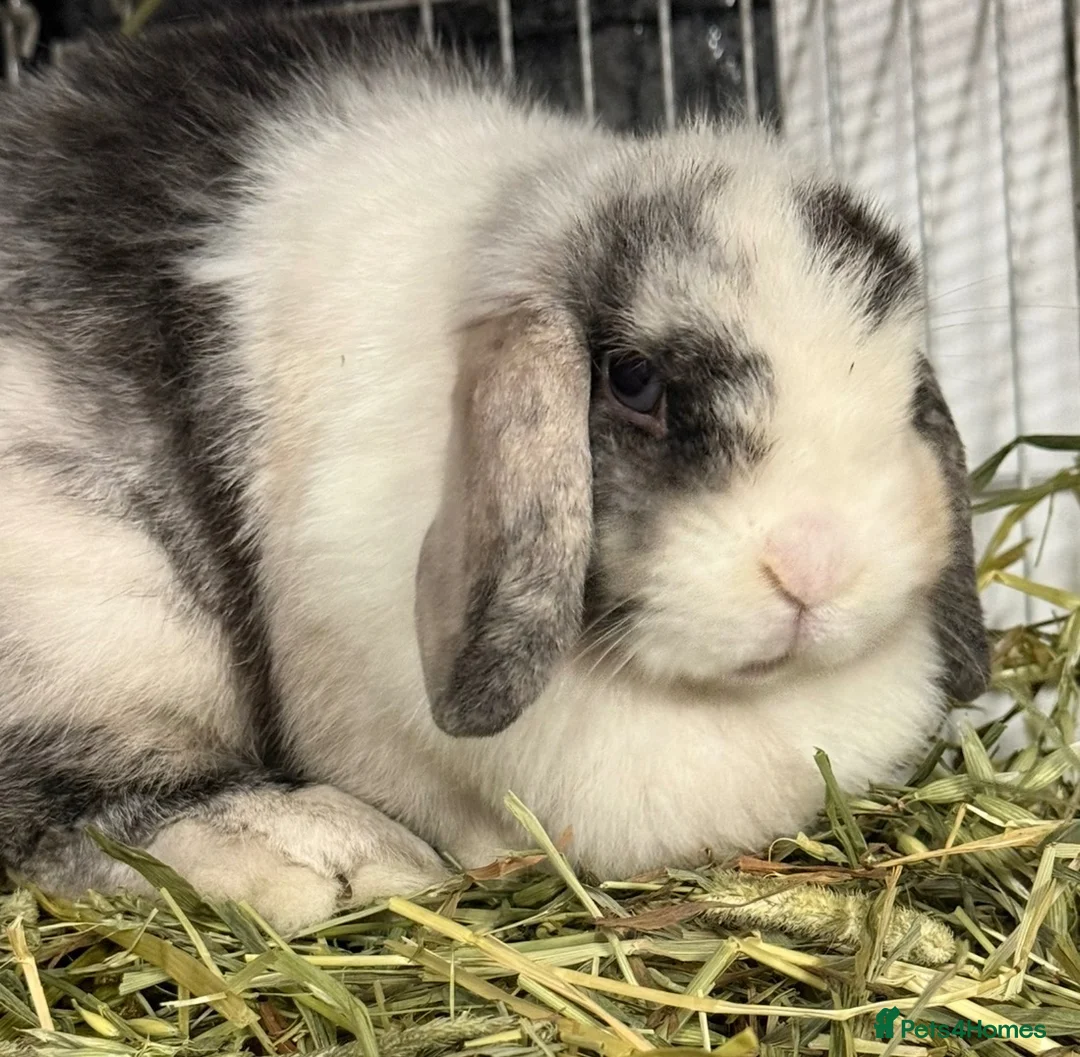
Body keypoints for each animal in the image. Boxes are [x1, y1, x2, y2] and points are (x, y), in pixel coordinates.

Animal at [0, 7, 990, 932]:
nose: (819, 565)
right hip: (100, 615)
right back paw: (331, 855)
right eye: (635, 380)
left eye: (906, 392)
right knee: (71, 802)